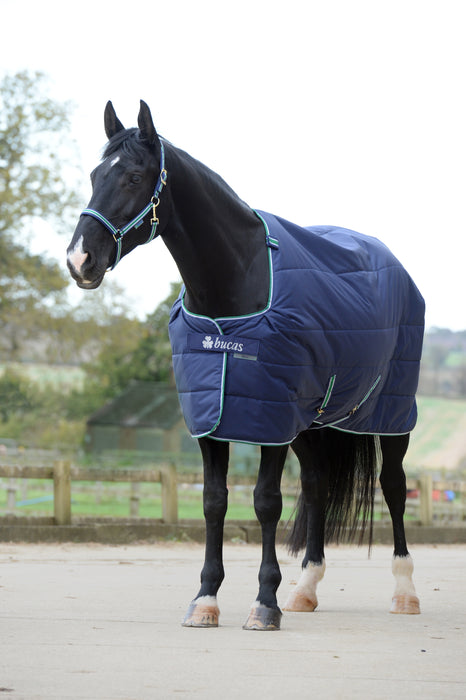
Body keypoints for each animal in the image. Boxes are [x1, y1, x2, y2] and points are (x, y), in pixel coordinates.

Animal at [67, 100, 425, 631]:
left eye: (133, 176)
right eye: (94, 175)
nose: (79, 260)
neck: (234, 286)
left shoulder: (268, 418)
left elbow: (265, 502)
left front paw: (265, 603)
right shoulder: (214, 417)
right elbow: (214, 502)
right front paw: (206, 599)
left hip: (393, 414)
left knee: (394, 487)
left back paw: (404, 593)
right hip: (311, 424)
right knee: (317, 487)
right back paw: (306, 587)